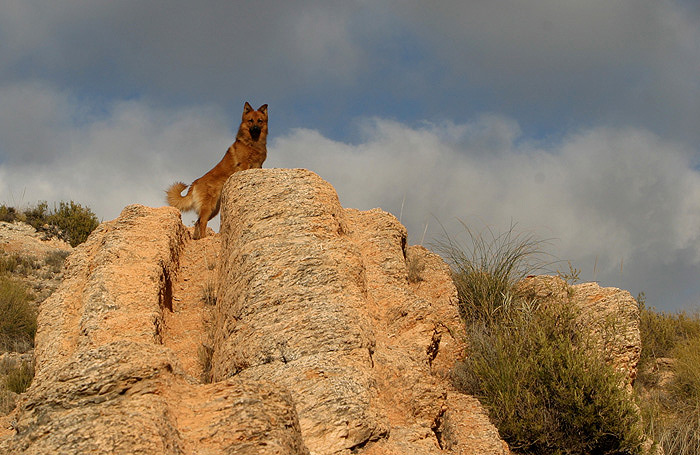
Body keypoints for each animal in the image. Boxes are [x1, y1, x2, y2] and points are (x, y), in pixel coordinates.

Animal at [167, 102, 268, 240]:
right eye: (250, 121)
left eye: (260, 121)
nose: (256, 128)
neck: (252, 143)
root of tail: (196, 182)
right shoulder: (244, 165)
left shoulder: (258, 165)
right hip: (209, 206)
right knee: (201, 221)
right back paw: (204, 238)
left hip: (214, 209)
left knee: (198, 222)